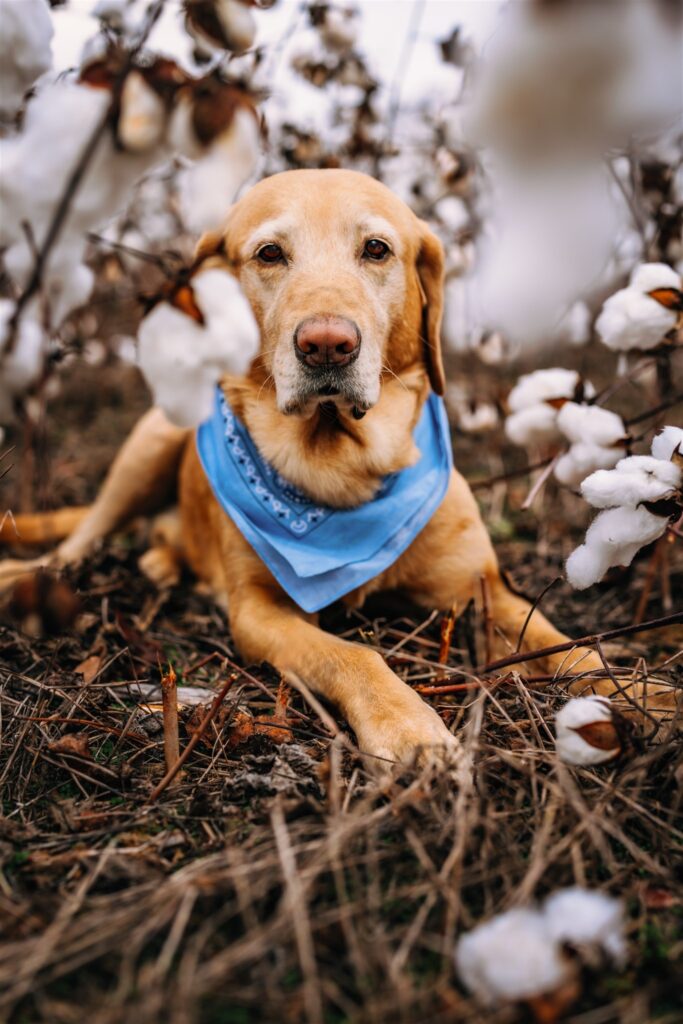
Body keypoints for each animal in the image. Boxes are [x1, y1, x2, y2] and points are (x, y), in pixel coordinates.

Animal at [0, 167, 647, 765]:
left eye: (376, 249)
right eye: (269, 253)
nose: (327, 344)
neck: (341, 472)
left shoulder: (484, 589)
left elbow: (574, 649)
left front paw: (648, 696)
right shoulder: (258, 614)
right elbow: (353, 654)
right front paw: (406, 726)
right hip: (154, 438)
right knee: (77, 542)